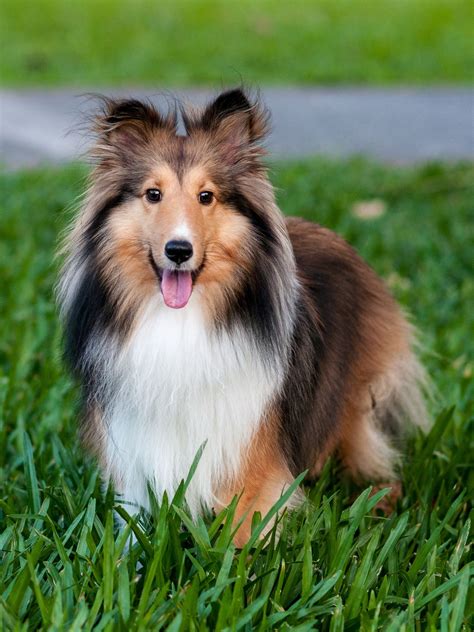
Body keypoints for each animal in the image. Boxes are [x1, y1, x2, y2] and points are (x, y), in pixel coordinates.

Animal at [59, 89, 430, 548]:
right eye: (152, 194)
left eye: (206, 196)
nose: (178, 250)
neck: (182, 322)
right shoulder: (138, 452)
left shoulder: (249, 453)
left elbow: (240, 535)